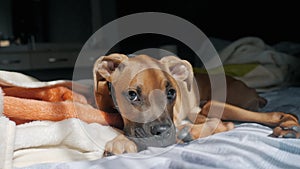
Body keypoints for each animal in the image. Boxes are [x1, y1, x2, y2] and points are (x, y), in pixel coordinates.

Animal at [92, 53, 298, 154]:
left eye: (171, 92)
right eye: (132, 95)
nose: (163, 133)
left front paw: (122, 141)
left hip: (214, 104)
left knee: (269, 115)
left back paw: (289, 127)